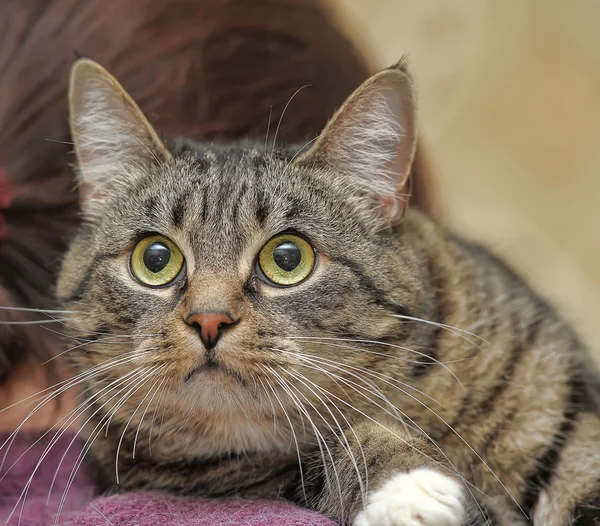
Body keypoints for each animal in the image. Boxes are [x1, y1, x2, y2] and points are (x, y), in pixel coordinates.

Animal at [52, 58, 600, 526]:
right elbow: (330, 449)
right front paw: (408, 487)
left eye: (287, 258)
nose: (209, 319)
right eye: (155, 259)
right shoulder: (224, 476)